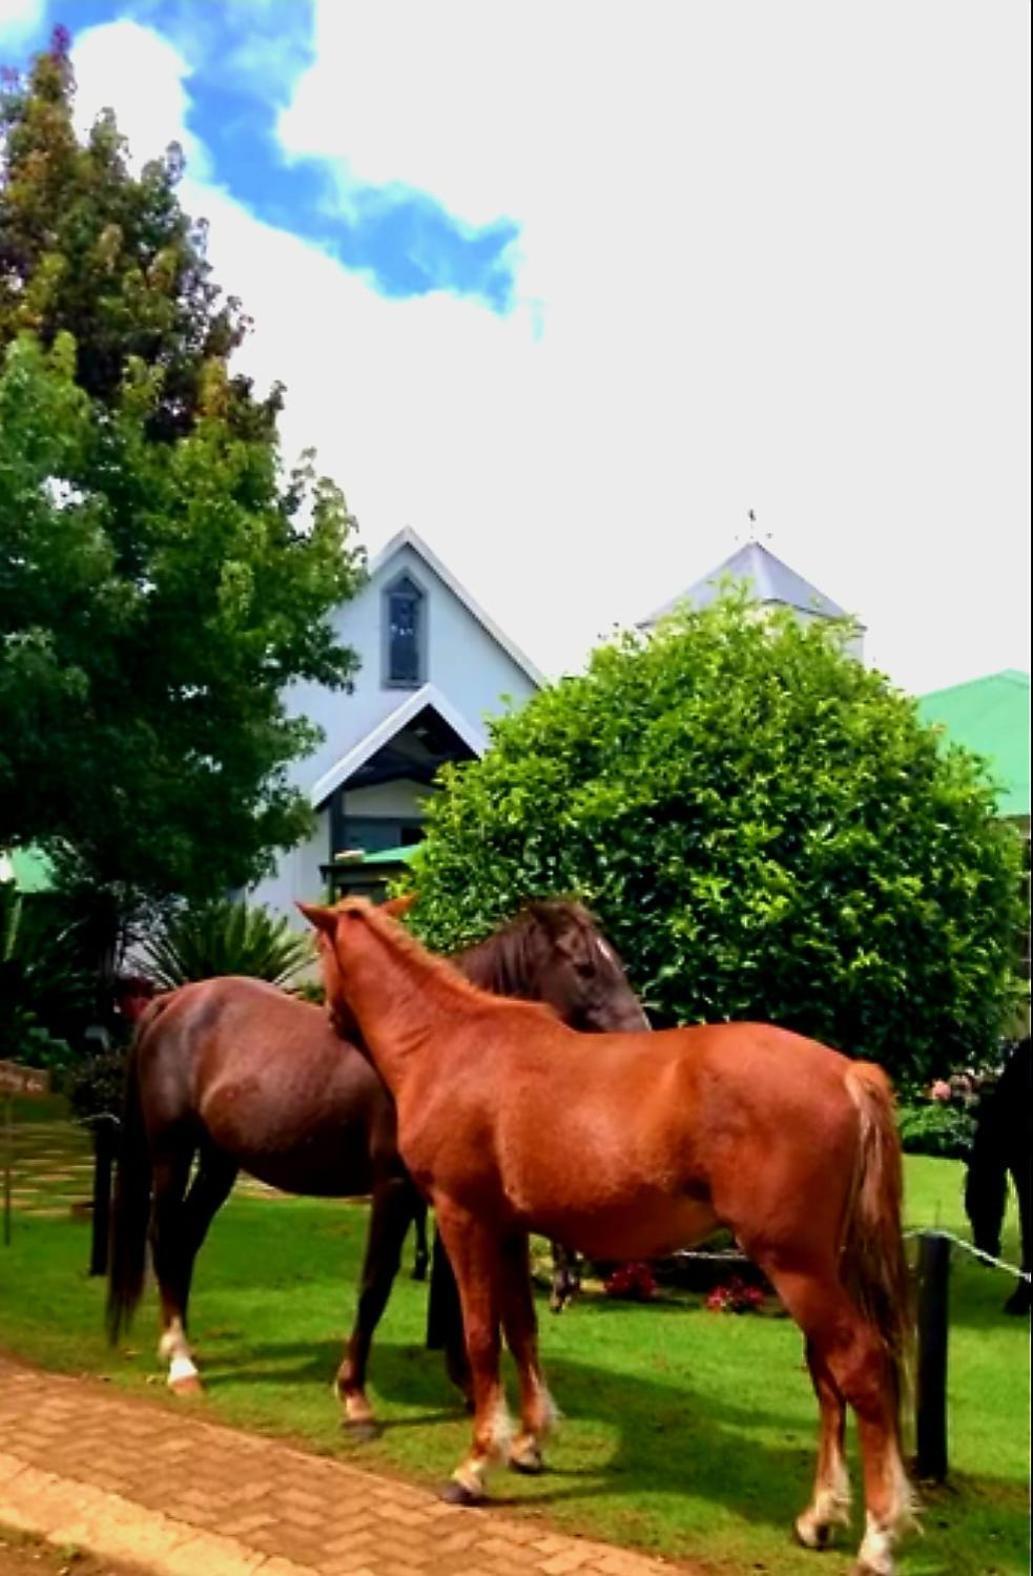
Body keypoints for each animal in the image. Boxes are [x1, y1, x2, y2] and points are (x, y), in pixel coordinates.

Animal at [104, 901, 646, 1431]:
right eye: (584, 966)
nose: (640, 1035)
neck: (431, 1046)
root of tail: (175, 1001)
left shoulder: (454, 1195)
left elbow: (454, 1289)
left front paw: (469, 1387)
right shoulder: (394, 1186)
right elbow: (376, 1282)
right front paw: (354, 1396)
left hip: (220, 1160)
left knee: (187, 1238)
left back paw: (183, 1346)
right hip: (173, 1151)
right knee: (163, 1235)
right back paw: (181, 1362)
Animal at [301, 901, 914, 1576]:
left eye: (321, 952)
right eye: (585, 964)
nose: (326, 1017)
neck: (451, 1042)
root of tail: (847, 1072)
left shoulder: (465, 1219)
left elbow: (482, 1337)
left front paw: (475, 1465)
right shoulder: (510, 1228)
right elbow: (523, 1329)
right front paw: (530, 1443)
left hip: (795, 1265)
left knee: (858, 1365)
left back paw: (878, 1536)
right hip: (815, 1266)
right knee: (826, 1375)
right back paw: (818, 1517)